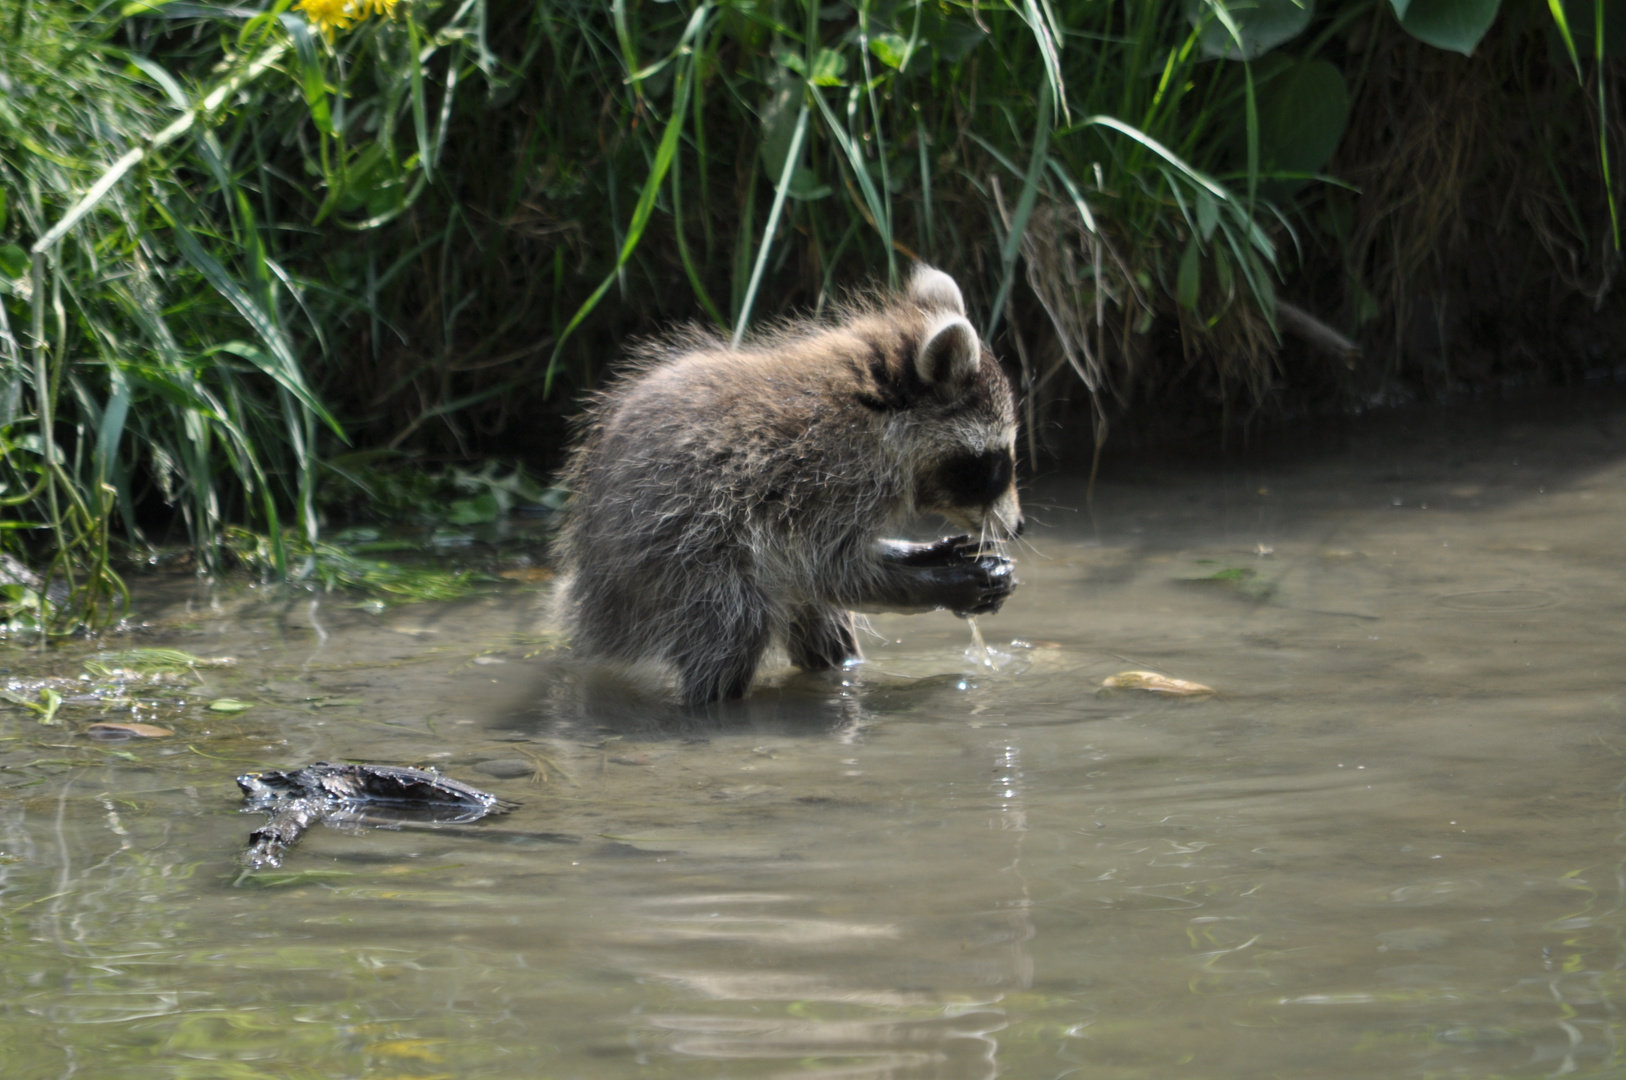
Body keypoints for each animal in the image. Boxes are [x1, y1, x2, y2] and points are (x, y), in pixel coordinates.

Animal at [552, 268, 1021, 709]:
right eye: (996, 463)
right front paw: (942, 584)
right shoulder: (834, 477)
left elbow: (838, 573)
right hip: (676, 553)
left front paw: (927, 553)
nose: (1016, 528)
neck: (883, 412)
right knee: (734, 627)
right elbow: (837, 572)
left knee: (821, 624)